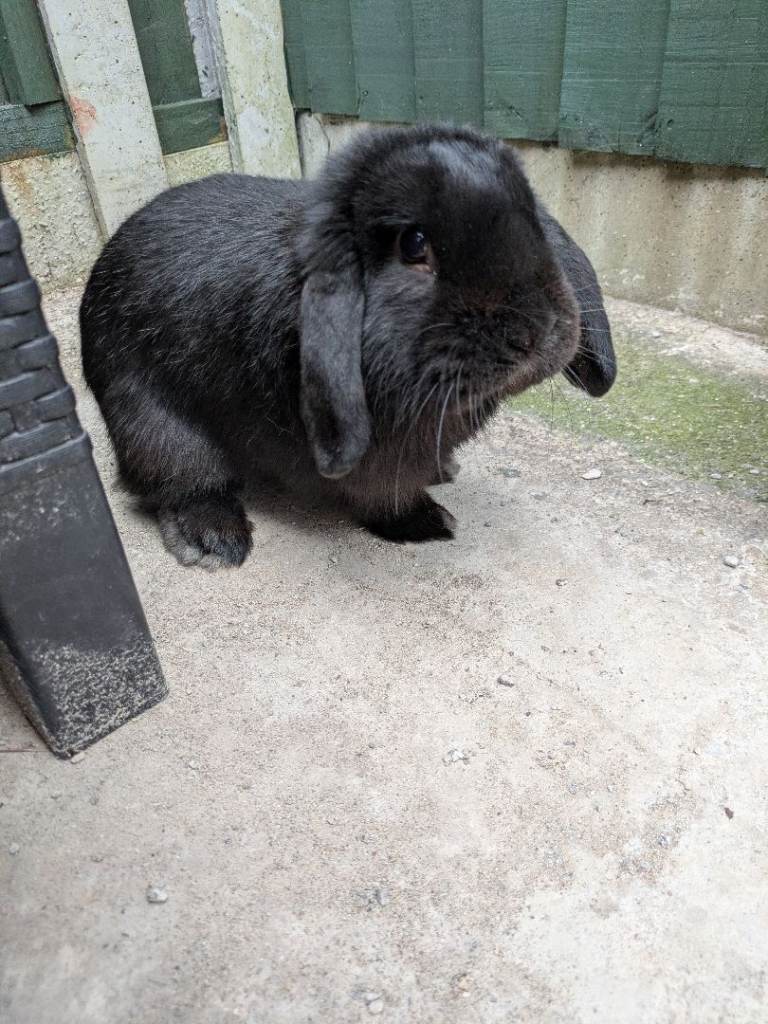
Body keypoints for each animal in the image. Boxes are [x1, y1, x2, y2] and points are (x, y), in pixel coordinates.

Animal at [80, 123, 616, 569]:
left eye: (532, 220)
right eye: (414, 244)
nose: (533, 332)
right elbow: (382, 495)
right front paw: (427, 523)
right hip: (153, 423)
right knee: (179, 481)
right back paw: (214, 542)